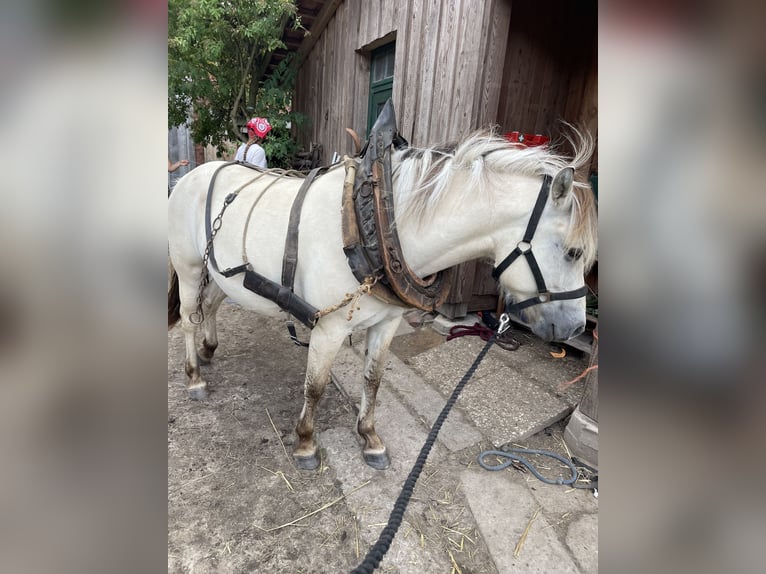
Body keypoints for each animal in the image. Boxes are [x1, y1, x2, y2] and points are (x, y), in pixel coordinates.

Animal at [167, 129, 597, 471]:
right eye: (573, 252)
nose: (577, 327)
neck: (373, 224)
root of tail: (191, 176)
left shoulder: (387, 323)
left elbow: (373, 379)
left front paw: (369, 438)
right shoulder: (328, 328)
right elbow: (315, 386)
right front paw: (305, 443)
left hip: (220, 273)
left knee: (211, 306)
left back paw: (209, 349)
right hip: (188, 269)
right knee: (189, 316)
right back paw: (194, 376)